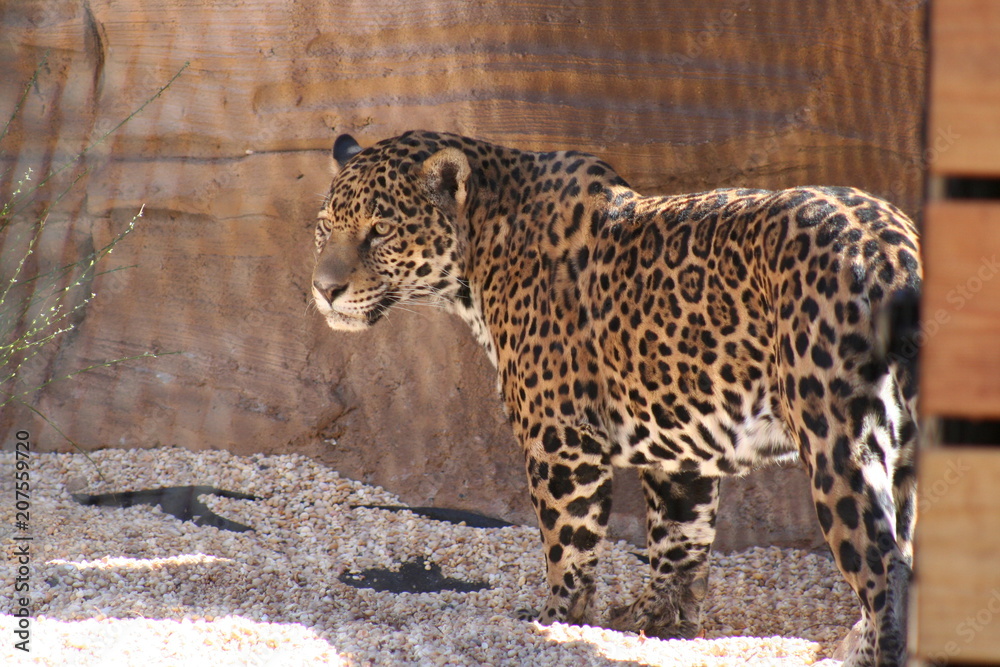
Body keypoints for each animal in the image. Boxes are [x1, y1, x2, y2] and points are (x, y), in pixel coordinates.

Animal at [309, 130, 921, 666]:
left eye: (380, 231)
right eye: (324, 229)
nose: (324, 289)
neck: (481, 252)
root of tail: (889, 246)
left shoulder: (562, 441)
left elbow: (568, 545)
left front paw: (558, 622)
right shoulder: (683, 447)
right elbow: (679, 538)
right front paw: (660, 622)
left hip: (835, 436)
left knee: (883, 564)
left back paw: (863, 651)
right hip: (906, 446)